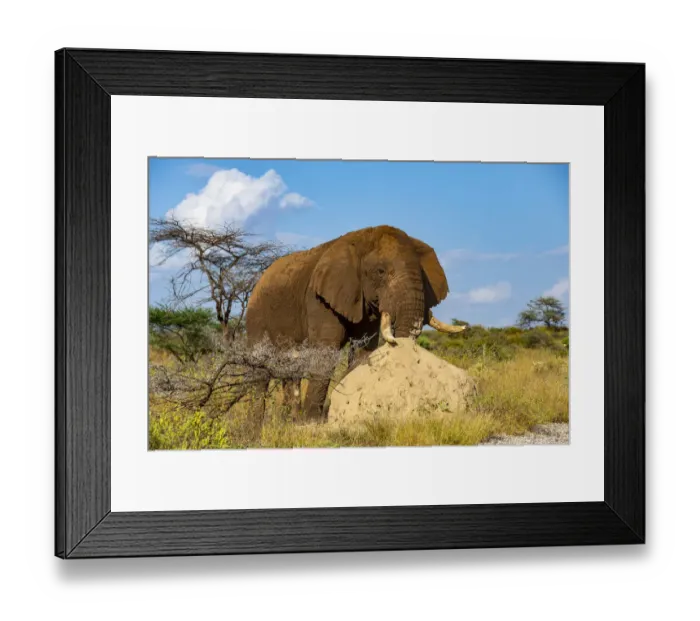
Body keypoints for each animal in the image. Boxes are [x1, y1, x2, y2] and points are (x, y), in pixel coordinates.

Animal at [246, 225, 464, 424]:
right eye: (380, 271)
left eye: (422, 274)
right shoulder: (318, 299)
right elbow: (326, 350)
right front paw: (311, 422)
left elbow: (362, 351)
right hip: (256, 315)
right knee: (260, 370)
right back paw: (256, 428)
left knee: (290, 372)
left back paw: (287, 421)